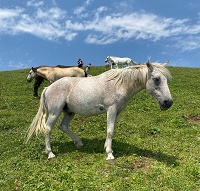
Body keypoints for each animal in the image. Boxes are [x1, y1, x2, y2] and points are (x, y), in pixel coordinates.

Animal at [26, 59, 173, 163]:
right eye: (156, 79)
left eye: (166, 79)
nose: (168, 102)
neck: (119, 84)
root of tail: (48, 88)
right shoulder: (111, 110)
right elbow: (110, 131)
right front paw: (110, 155)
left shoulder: (117, 112)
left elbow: (111, 130)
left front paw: (106, 148)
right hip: (54, 113)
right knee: (47, 129)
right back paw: (50, 153)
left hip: (69, 112)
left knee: (63, 126)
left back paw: (78, 143)